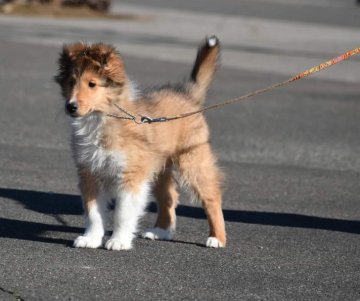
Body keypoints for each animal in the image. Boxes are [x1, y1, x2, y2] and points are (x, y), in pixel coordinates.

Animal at [54, 36, 225, 250]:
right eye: (71, 82)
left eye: (92, 84)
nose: (71, 107)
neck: (101, 120)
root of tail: (188, 95)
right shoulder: (90, 173)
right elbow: (93, 212)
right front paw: (91, 239)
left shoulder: (131, 175)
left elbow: (122, 213)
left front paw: (118, 241)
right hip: (158, 167)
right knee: (169, 197)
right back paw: (161, 230)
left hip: (192, 161)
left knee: (212, 197)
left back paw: (217, 238)